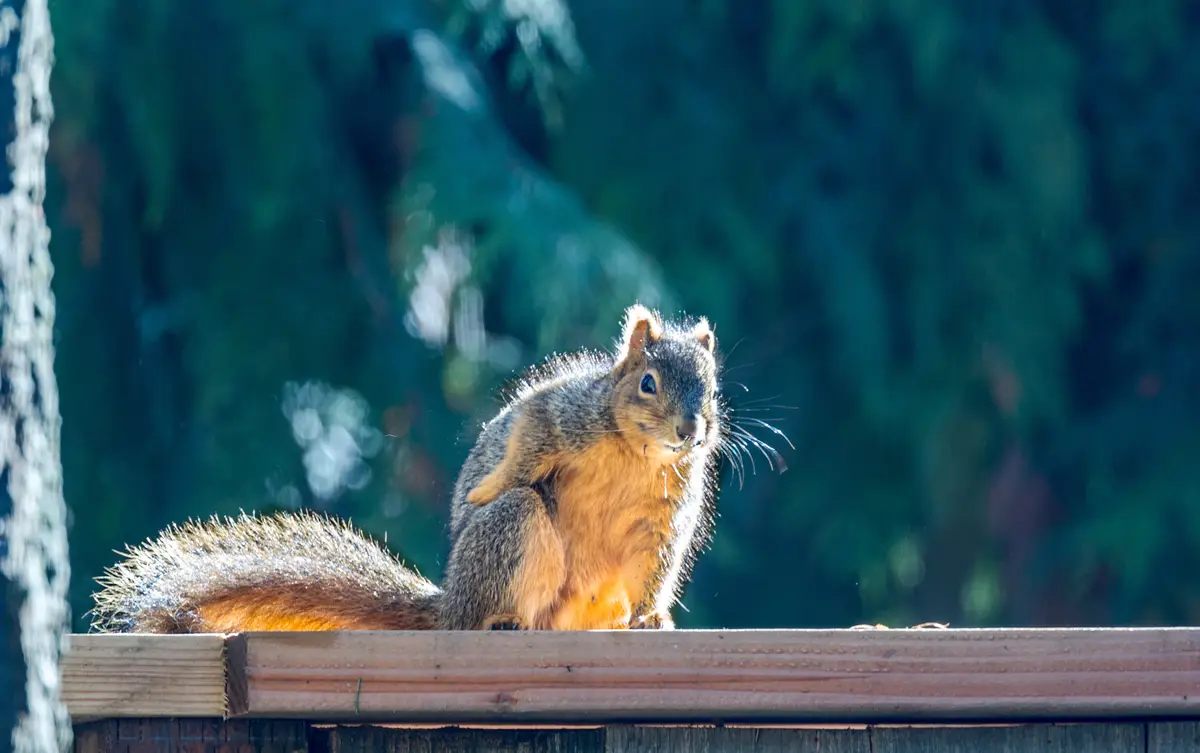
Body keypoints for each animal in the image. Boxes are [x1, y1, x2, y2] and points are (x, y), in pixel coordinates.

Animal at [91, 303, 727, 633]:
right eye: (649, 384)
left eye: (713, 387)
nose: (691, 430)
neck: (636, 455)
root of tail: (449, 603)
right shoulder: (560, 414)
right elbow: (522, 444)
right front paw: (482, 488)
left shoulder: (667, 515)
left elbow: (657, 567)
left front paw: (651, 618)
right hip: (512, 533)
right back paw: (498, 620)